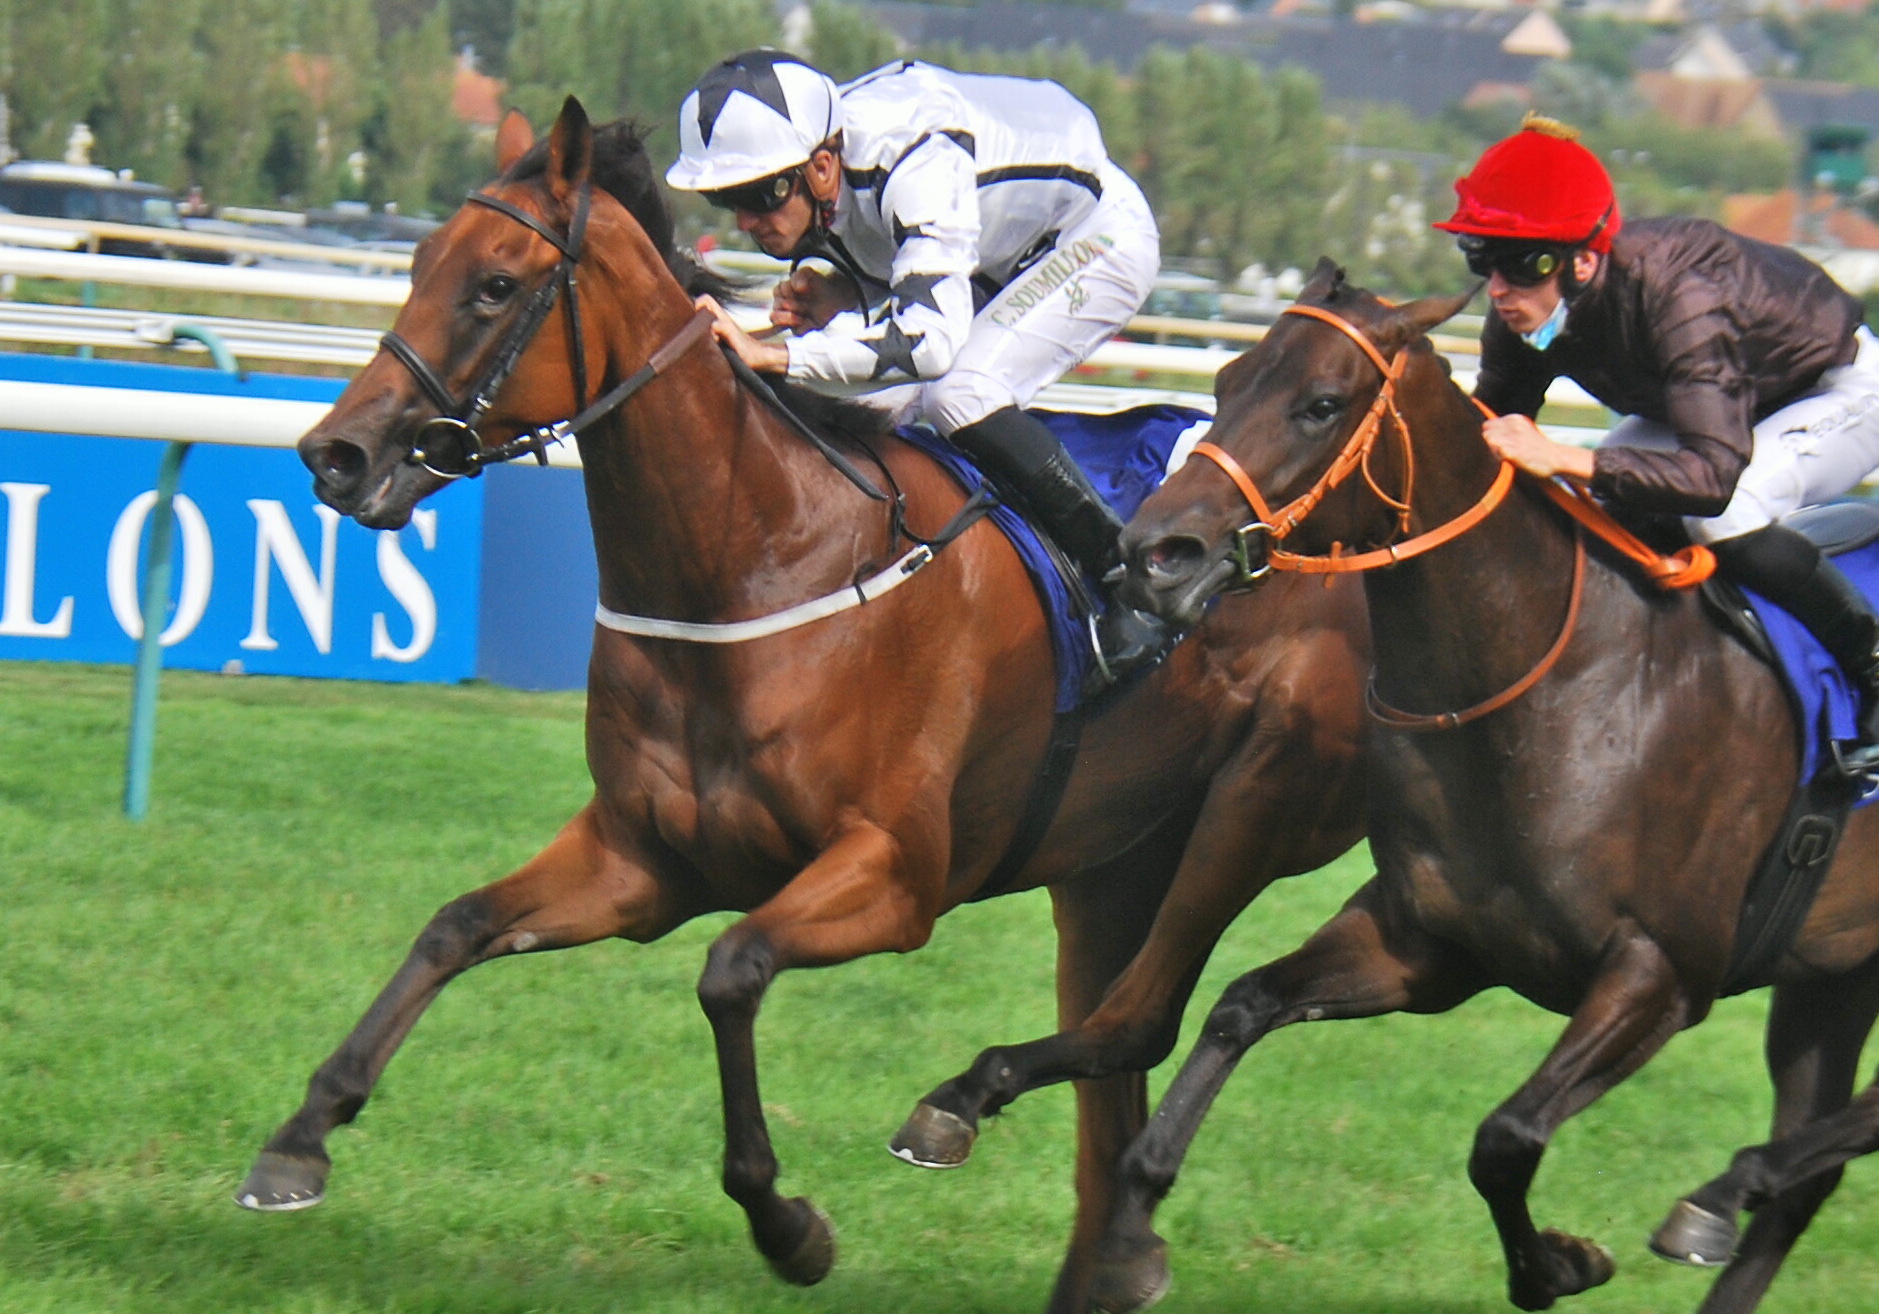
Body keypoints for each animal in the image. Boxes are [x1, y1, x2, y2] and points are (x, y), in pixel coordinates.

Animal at [234, 97, 1367, 1308]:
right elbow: (455, 926)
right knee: (1113, 1061)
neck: (758, 553)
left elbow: (731, 972)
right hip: (1112, 865)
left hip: (1257, 814)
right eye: (414, 265)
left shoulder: (896, 874)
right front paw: (300, 1139)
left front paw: (788, 1227)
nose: (335, 455)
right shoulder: (644, 859)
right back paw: (1113, 1253)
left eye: (494, 285)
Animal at [1097, 259, 1879, 1314]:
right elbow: (1241, 1004)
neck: (1553, 686)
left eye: (1320, 404)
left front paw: (1558, 1264)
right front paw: (1130, 1228)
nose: (1152, 555)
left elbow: (1503, 1139)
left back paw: (1719, 1190)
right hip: (1832, 974)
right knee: (1809, 1173)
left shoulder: (1661, 973)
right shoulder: (1429, 943)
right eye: (1224, 382)